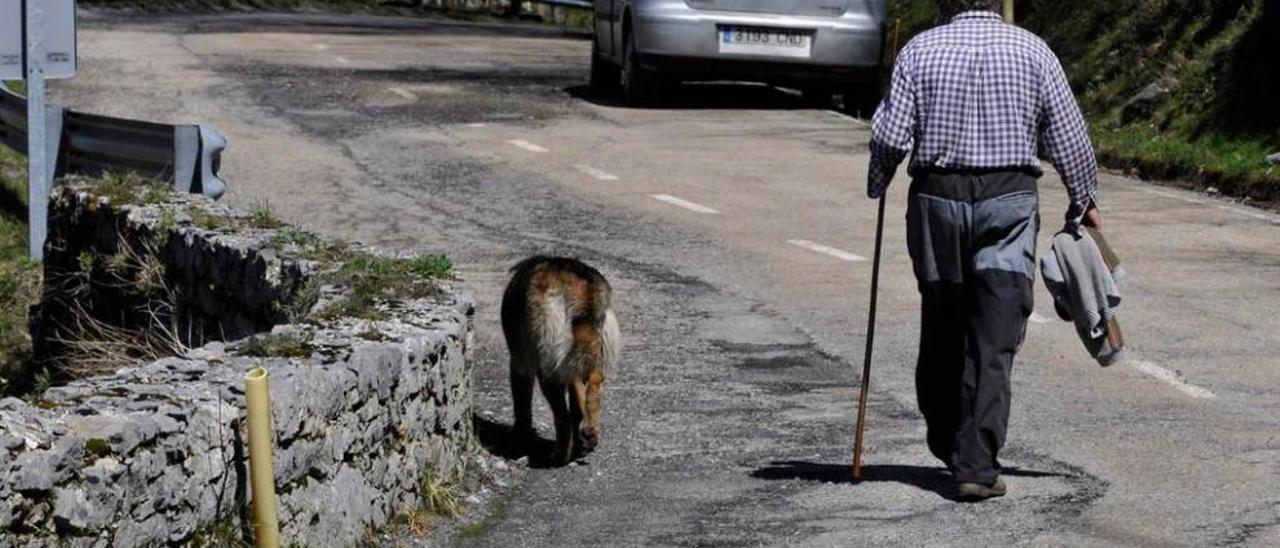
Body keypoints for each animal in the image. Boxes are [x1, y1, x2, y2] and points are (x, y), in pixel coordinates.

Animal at [499, 256, 619, 463]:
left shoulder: (520, 363)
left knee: (563, 417)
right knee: (591, 385)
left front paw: (519, 435)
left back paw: (560, 456)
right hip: (589, 353)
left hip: (548, 366)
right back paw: (588, 434)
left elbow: (522, 403)